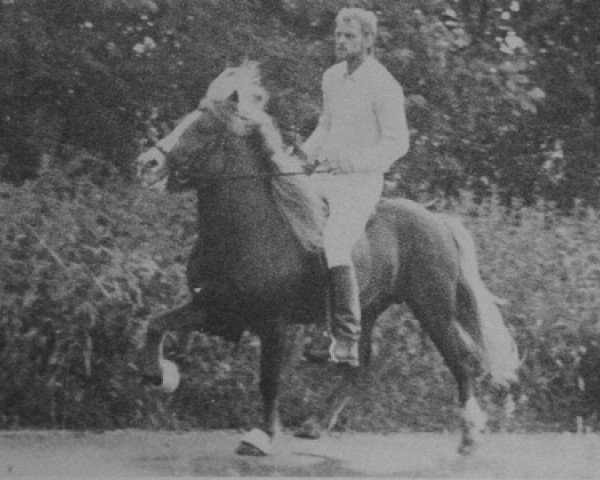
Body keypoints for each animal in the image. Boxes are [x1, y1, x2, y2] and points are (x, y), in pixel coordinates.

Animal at [136, 62, 520, 456]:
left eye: (205, 127)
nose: (147, 163)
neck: (246, 229)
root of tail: (438, 221)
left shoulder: (273, 322)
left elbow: (269, 380)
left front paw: (262, 436)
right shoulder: (212, 306)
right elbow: (155, 324)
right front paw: (161, 375)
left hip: (433, 308)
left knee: (460, 361)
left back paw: (470, 434)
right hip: (369, 309)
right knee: (359, 365)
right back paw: (317, 424)